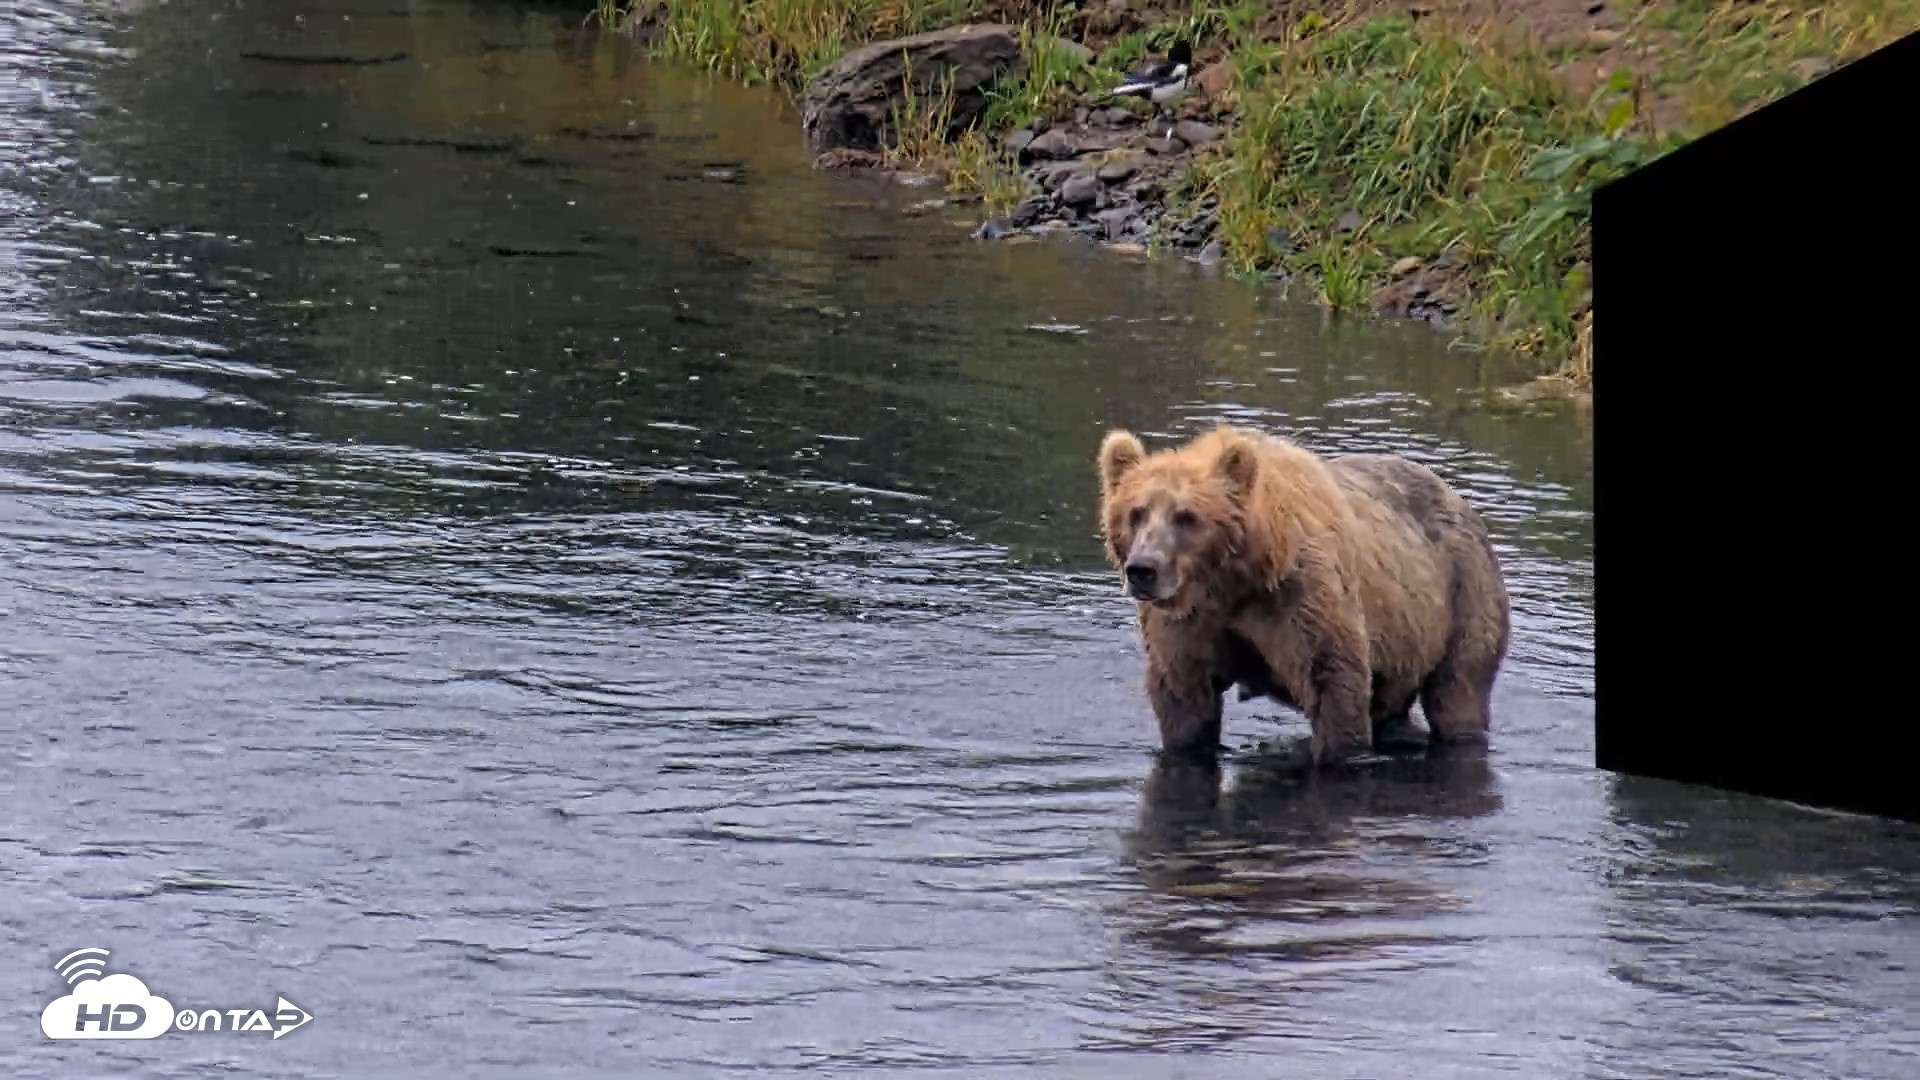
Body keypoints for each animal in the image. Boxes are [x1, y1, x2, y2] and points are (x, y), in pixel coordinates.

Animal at [1095, 423, 1511, 765]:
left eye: (1186, 517)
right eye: (1135, 513)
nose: (1143, 570)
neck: (1236, 578)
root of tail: (1458, 499)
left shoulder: (1299, 599)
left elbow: (1333, 682)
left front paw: (1341, 753)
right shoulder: (1191, 620)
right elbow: (1184, 698)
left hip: (1463, 592)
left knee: (1458, 689)